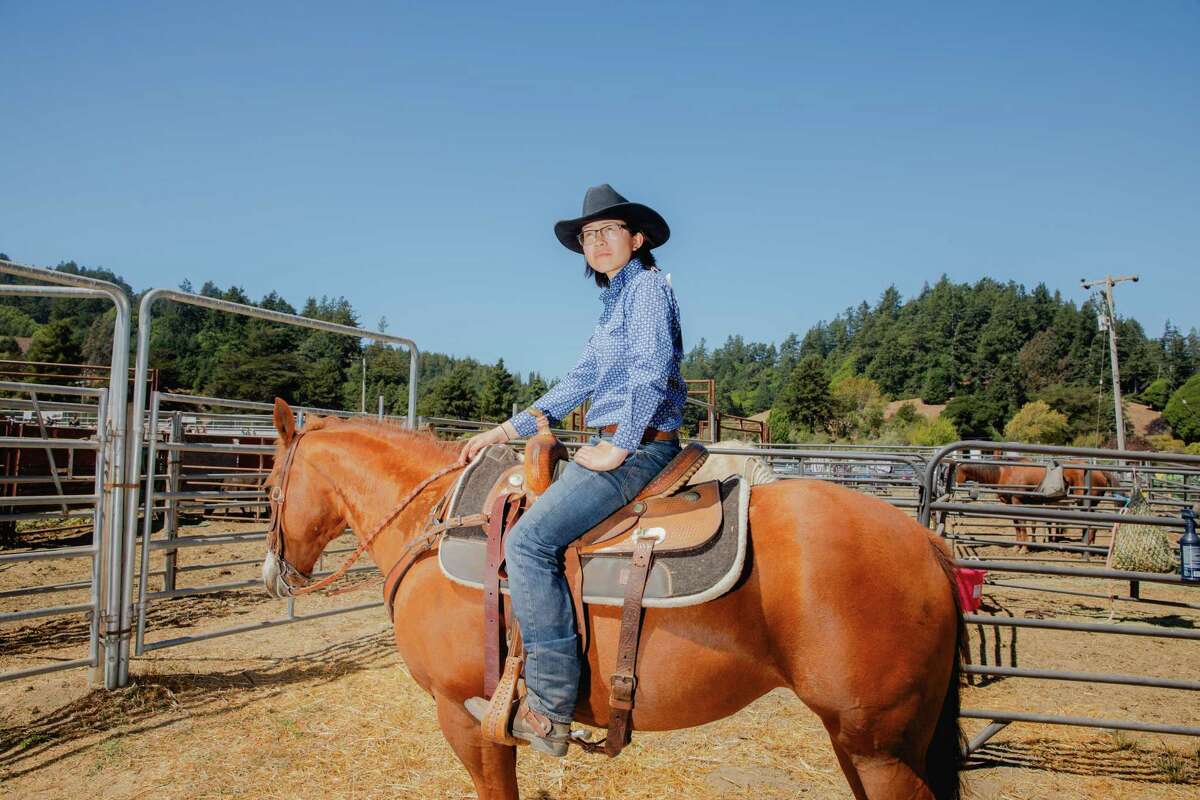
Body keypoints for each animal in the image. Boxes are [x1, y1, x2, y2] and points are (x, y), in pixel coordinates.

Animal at [262, 400, 964, 800]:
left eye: (268, 487)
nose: (274, 574)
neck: (435, 525)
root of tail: (927, 542)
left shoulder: (465, 715)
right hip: (863, 742)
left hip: (880, 750)